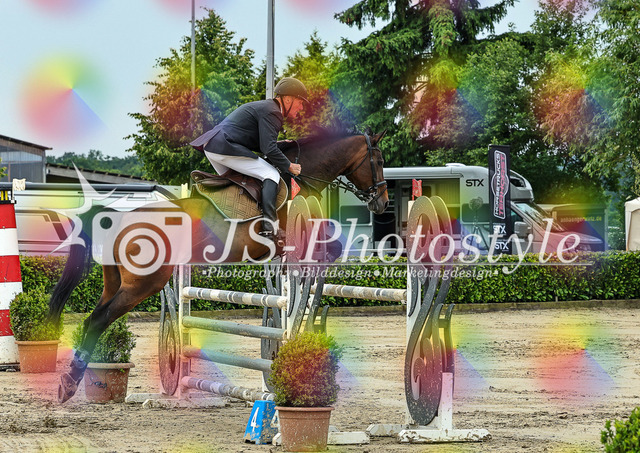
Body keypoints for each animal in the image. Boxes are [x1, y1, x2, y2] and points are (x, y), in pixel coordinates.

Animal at [49, 130, 389, 403]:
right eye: (379, 159)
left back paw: (71, 380)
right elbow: (328, 249)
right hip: (143, 284)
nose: (382, 203)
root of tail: (119, 217)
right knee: (98, 320)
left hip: (116, 283)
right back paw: (70, 383)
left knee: (92, 318)